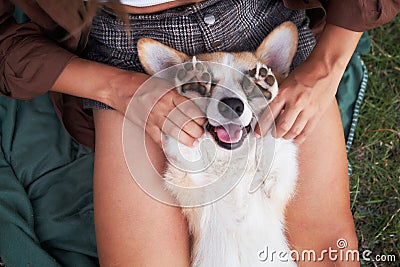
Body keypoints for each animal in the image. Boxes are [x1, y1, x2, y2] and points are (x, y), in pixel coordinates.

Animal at [138, 20, 300, 266]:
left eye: (245, 83)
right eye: (209, 84)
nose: (232, 105)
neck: (230, 159)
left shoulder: (276, 184)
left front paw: (264, 87)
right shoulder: (189, 182)